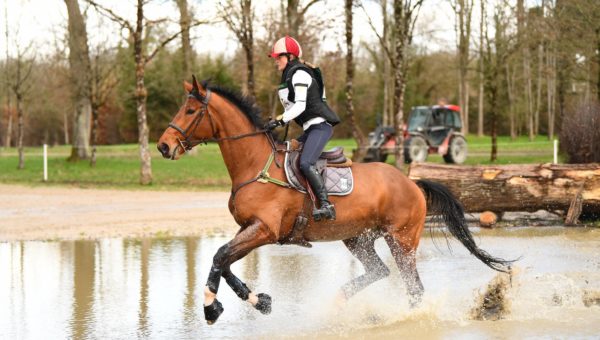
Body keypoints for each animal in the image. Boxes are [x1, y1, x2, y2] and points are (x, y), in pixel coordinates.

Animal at [156, 76, 510, 324]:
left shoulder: (265, 230)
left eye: (190, 111)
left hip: (402, 241)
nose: (163, 146)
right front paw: (260, 301)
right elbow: (225, 262)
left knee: (413, 287)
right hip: (358, 238)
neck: (255, 164)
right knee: (379, 271)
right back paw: (339, 300)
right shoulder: (250, 228)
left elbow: (219, 257)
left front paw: (210, 308)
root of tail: (411, 183)